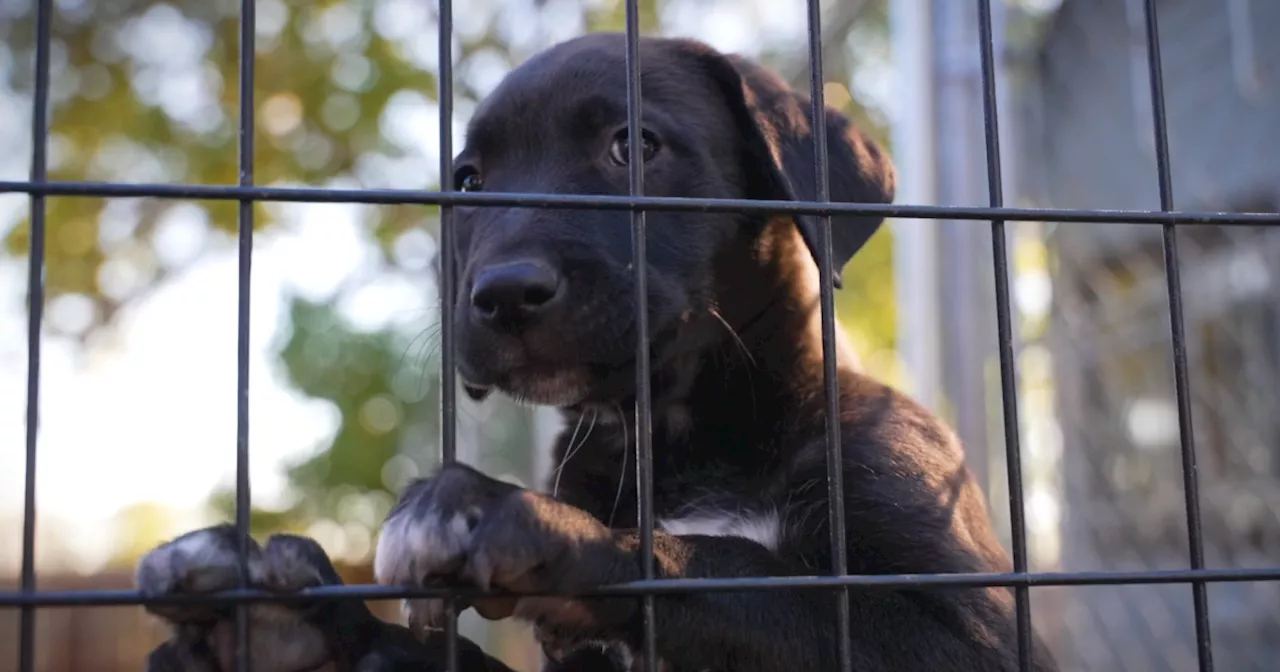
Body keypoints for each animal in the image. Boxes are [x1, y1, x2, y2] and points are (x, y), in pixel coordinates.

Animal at [135, 32, 1059, 670]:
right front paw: (292, 625)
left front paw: (505, 513)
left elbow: (738, 569)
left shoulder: (970, 631)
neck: (684, 437)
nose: (504, 293)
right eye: (467, 181)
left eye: (635, 145)